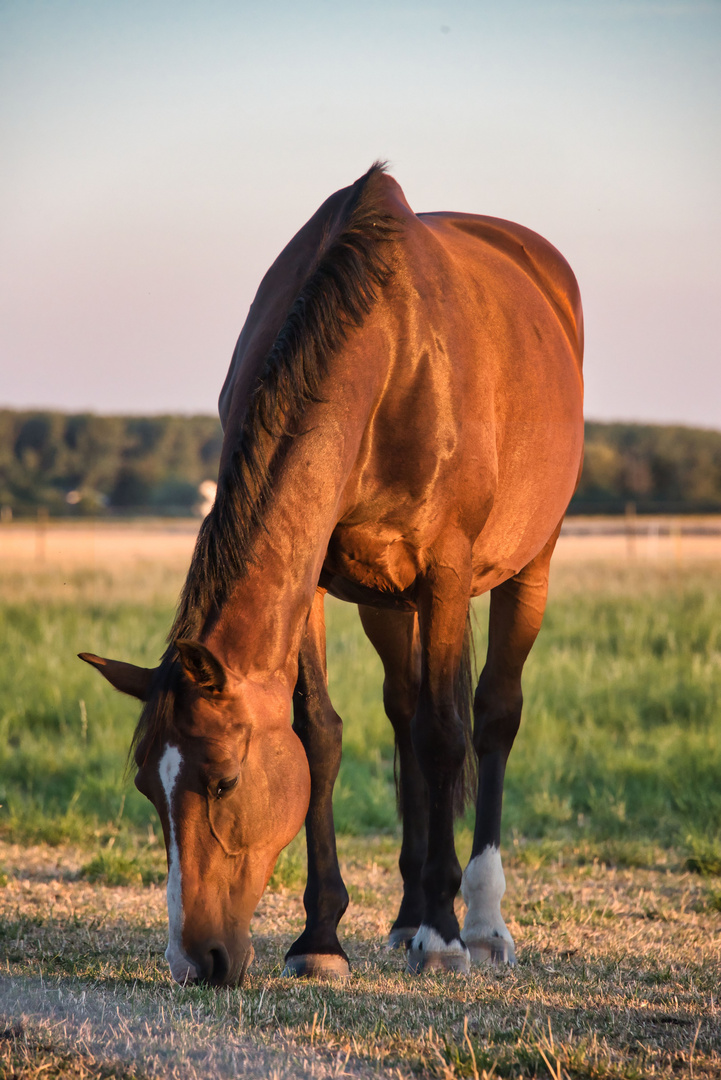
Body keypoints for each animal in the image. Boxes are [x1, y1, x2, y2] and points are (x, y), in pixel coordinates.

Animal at [80, 162, 587, 989]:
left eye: (222, 782)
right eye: (146, 790)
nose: (194, 961)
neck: (391, 355)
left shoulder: (446, 572)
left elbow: (447, 737)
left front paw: (443, 936)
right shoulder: (314, 578)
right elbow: (320, 736)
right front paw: (321, 937)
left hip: (526, 568)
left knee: (490, 716)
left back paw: (478, 921)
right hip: (388, 600)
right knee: (404, 712)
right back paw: (409, 912)